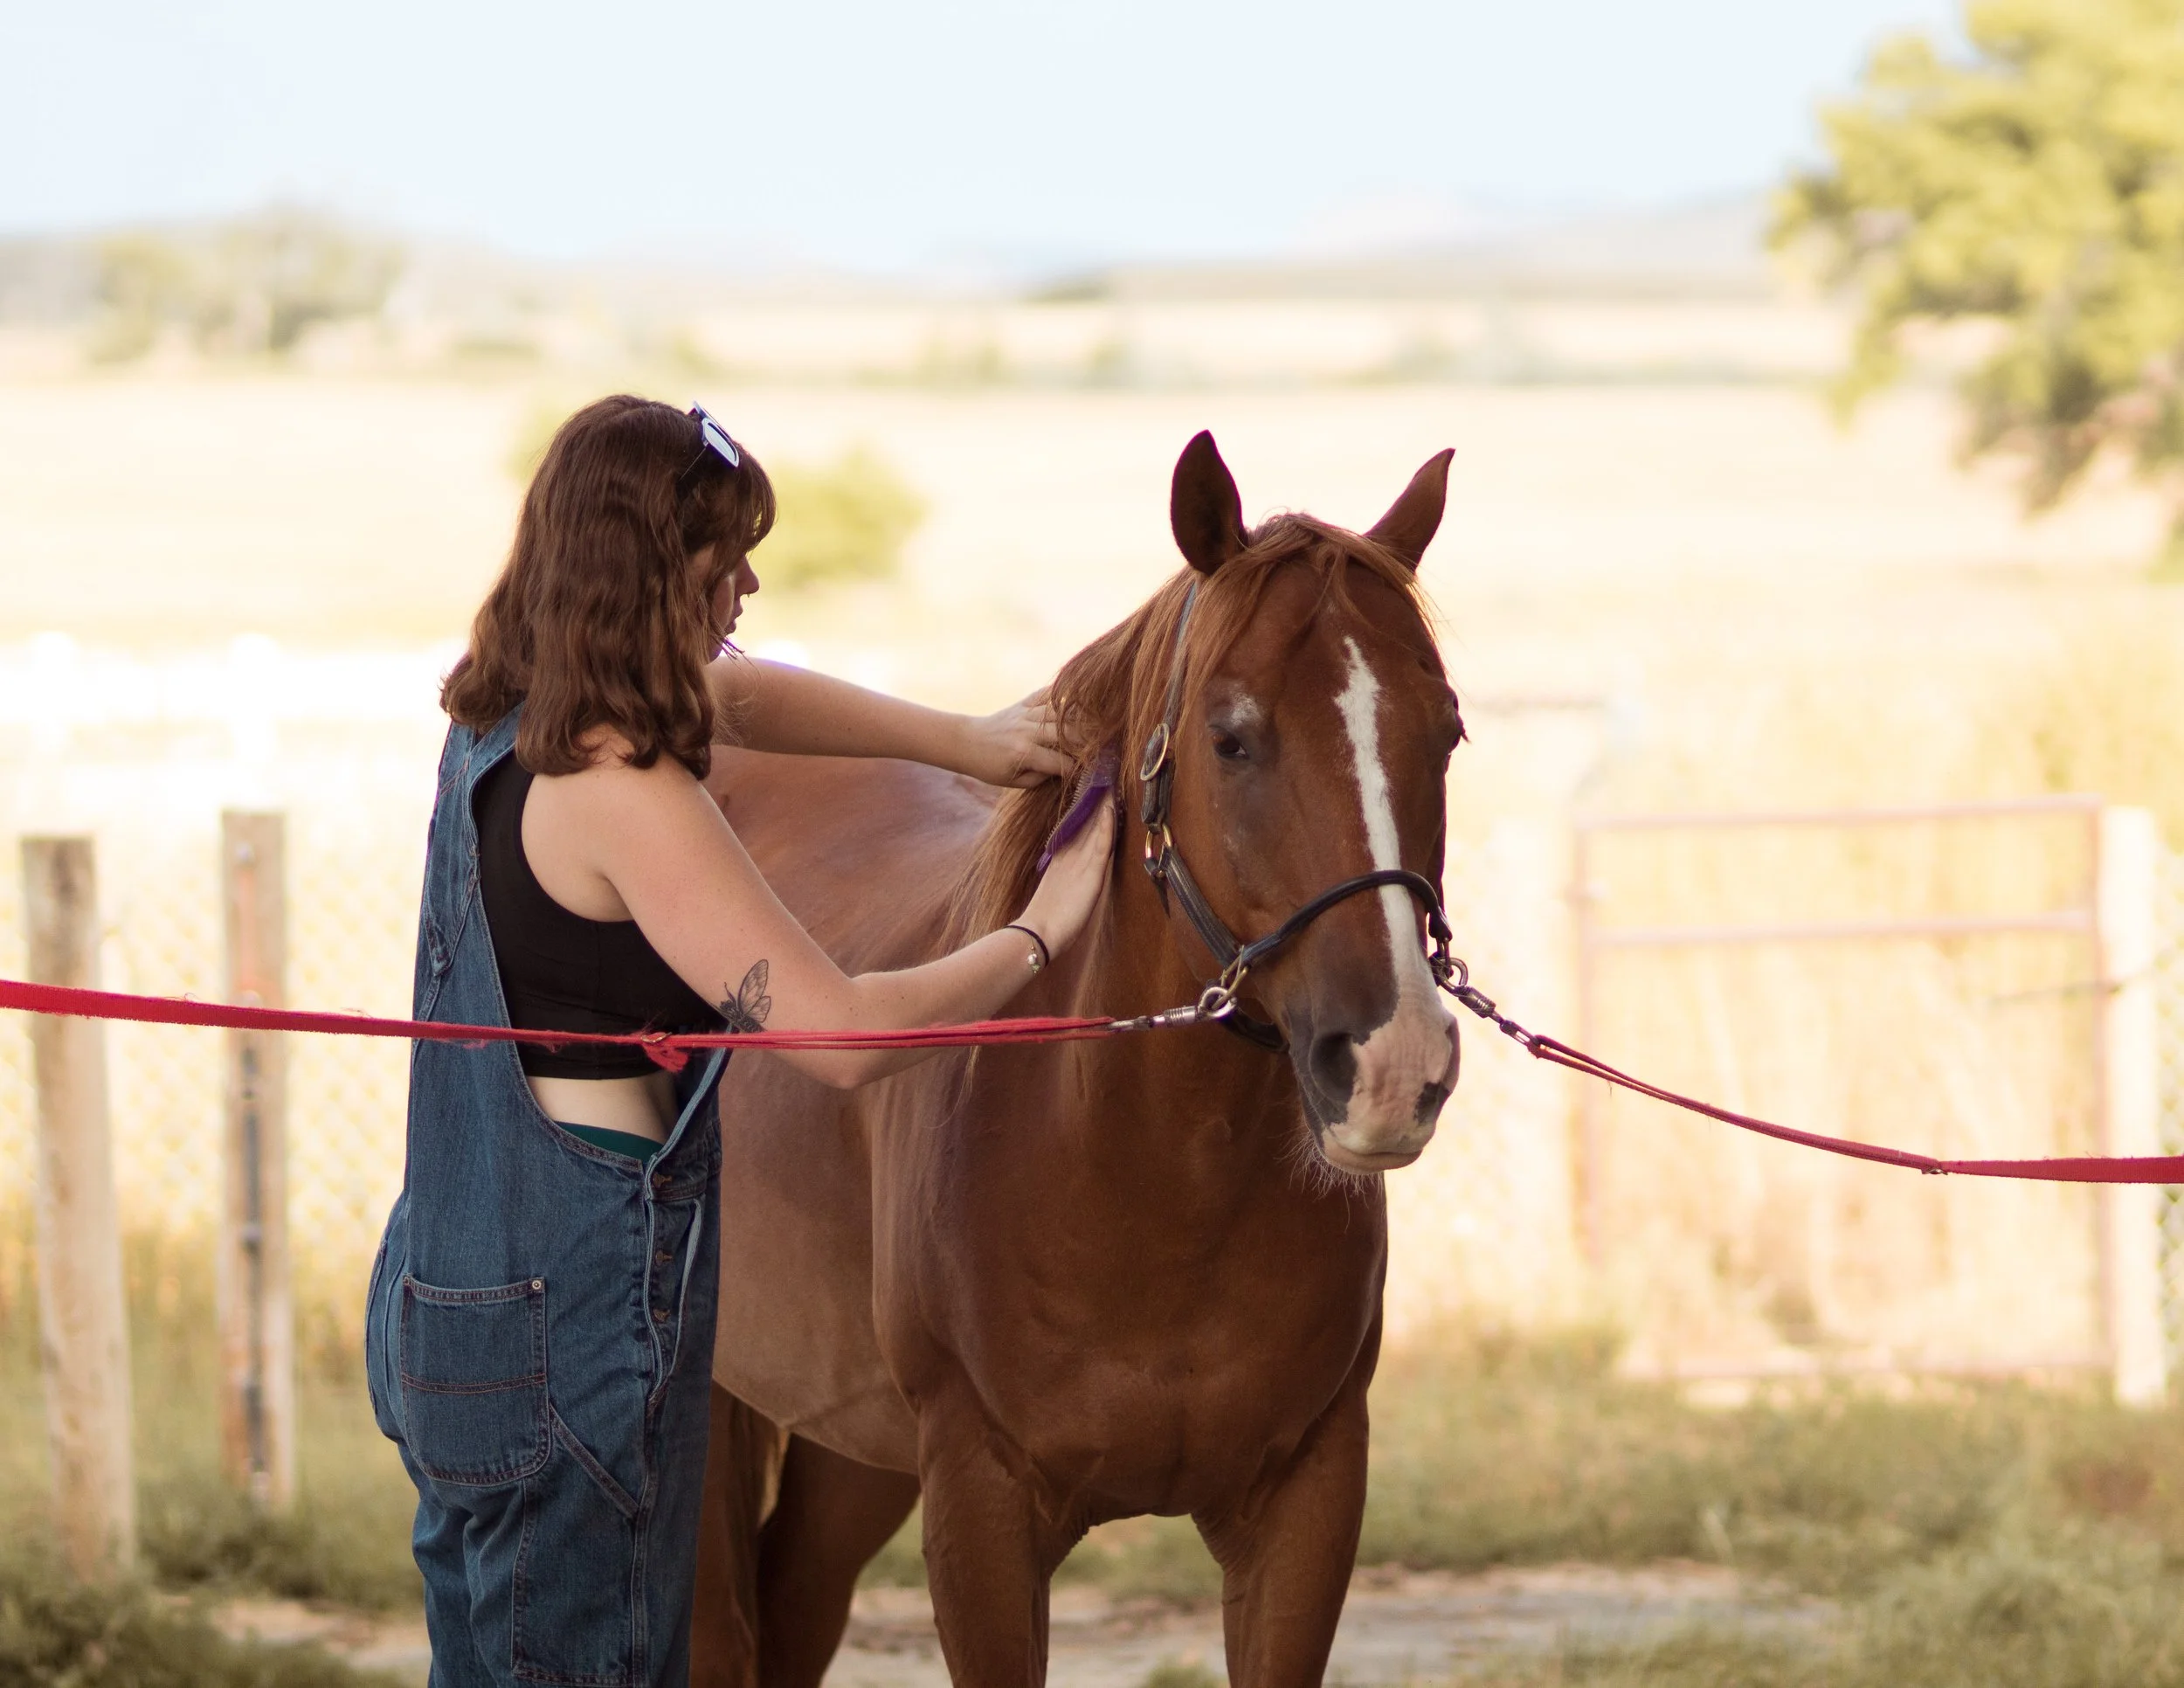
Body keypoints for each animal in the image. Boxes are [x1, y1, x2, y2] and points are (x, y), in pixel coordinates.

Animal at [691, 431, 1464, 1686]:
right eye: (1231, 737)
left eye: (1445, 731)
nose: (1393, 1060)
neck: (1139, 1174)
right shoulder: (983, 1511)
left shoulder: (1305, 1504)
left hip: (853, 1447)